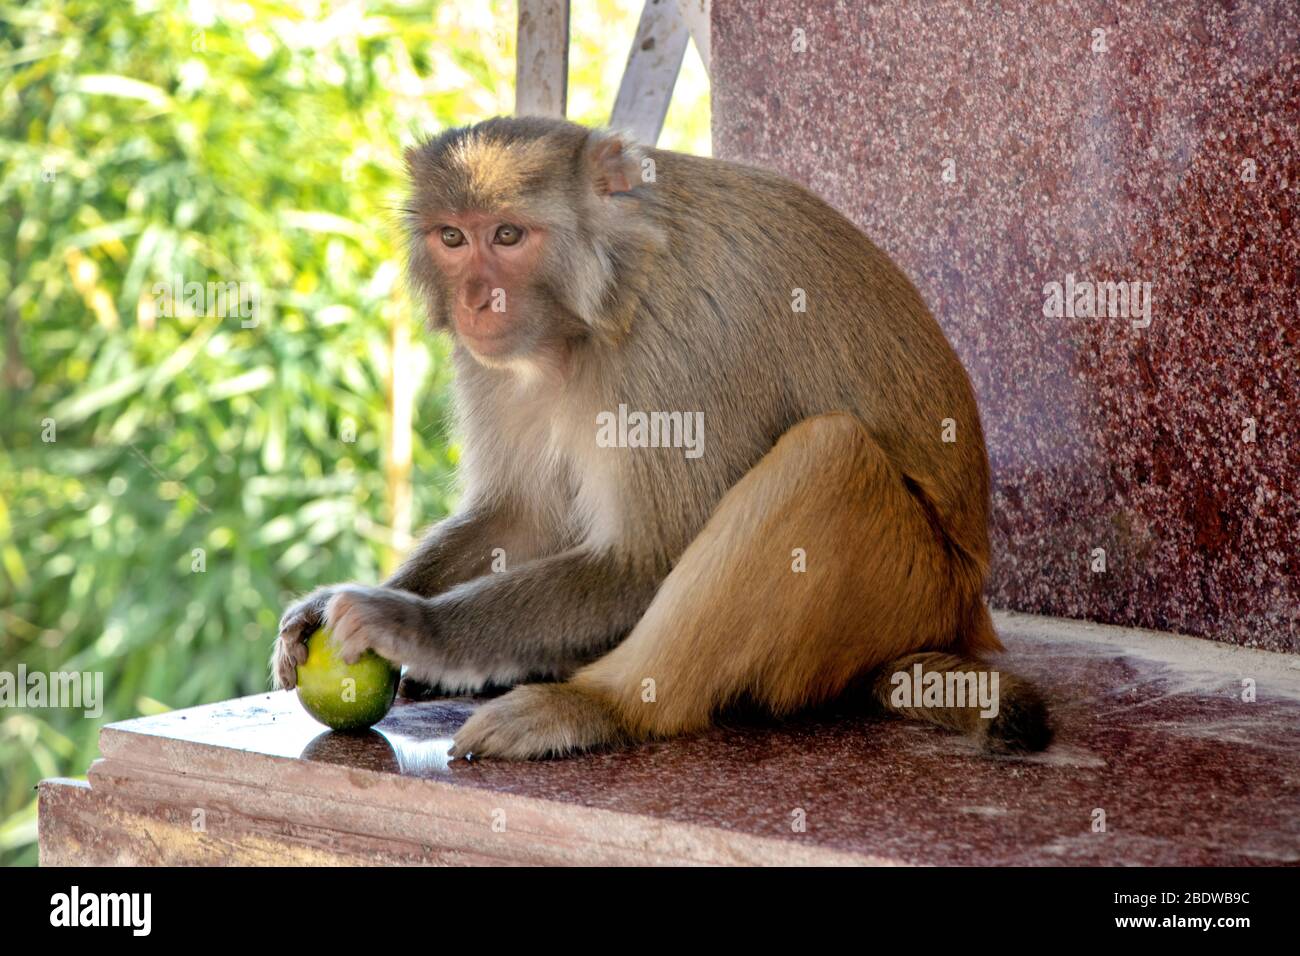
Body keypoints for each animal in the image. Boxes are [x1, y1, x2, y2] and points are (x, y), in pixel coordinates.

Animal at [271, 116, 1052, 759]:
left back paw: (599, 706)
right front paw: (323, 606)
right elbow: (525, 516)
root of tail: (965, 614)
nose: (475, 301)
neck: (606, 299)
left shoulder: (680, 352)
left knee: (826, 456)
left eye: (509, 236)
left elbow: (649, 560)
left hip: (910, 587)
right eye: (453, 238)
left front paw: (416, 625)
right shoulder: (490, 364)